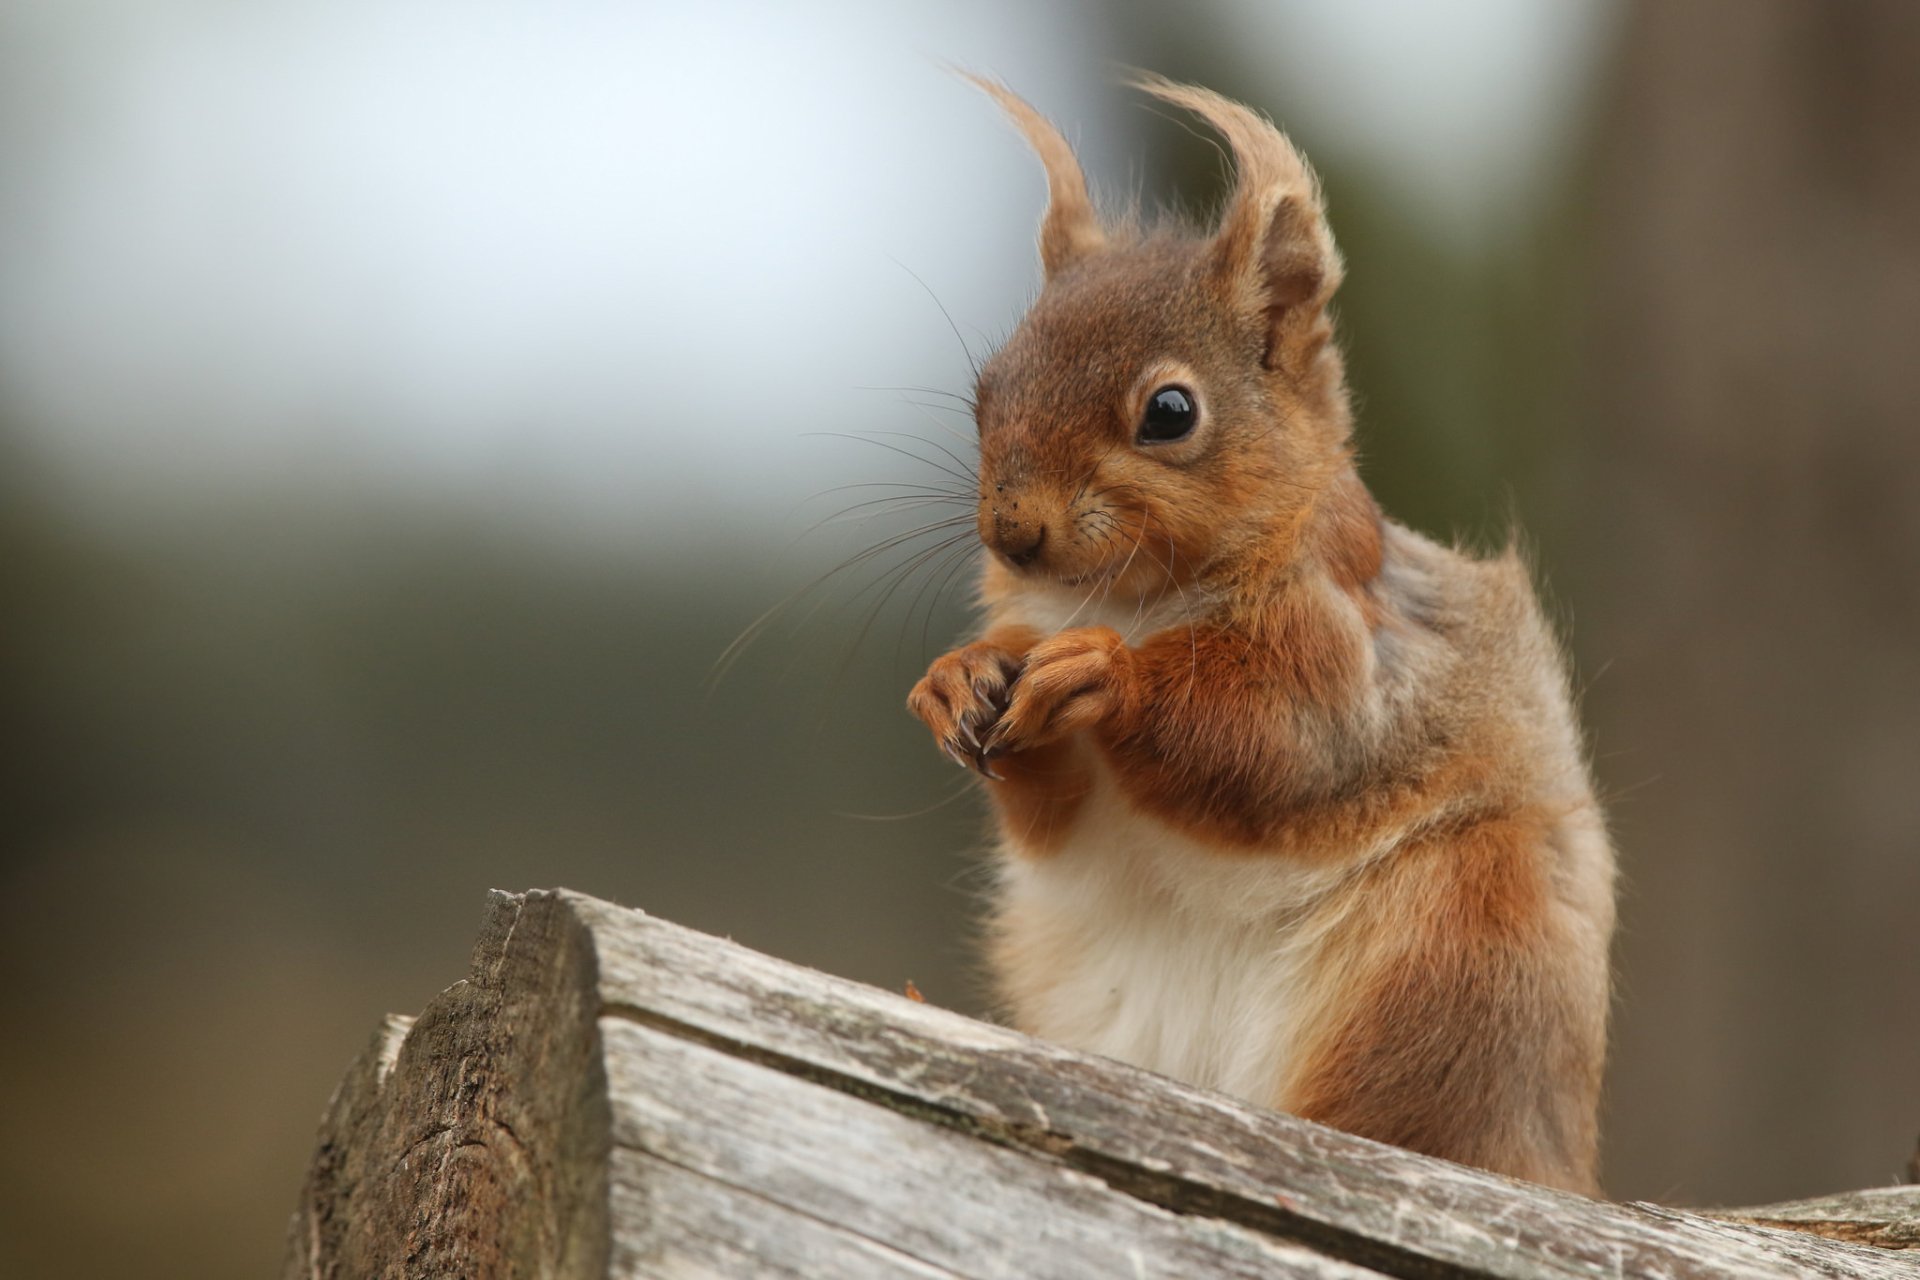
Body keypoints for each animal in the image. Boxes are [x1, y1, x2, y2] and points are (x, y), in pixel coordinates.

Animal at [906, 76, 1616, 1195]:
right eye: (986, 393)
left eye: (1170, 411)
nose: (1013, 533)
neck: (1135, 601)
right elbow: (1052, 811)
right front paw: (954, 678)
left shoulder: (1339, 645)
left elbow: (1278, 742)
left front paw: (1106, 677)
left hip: (1449, 956)